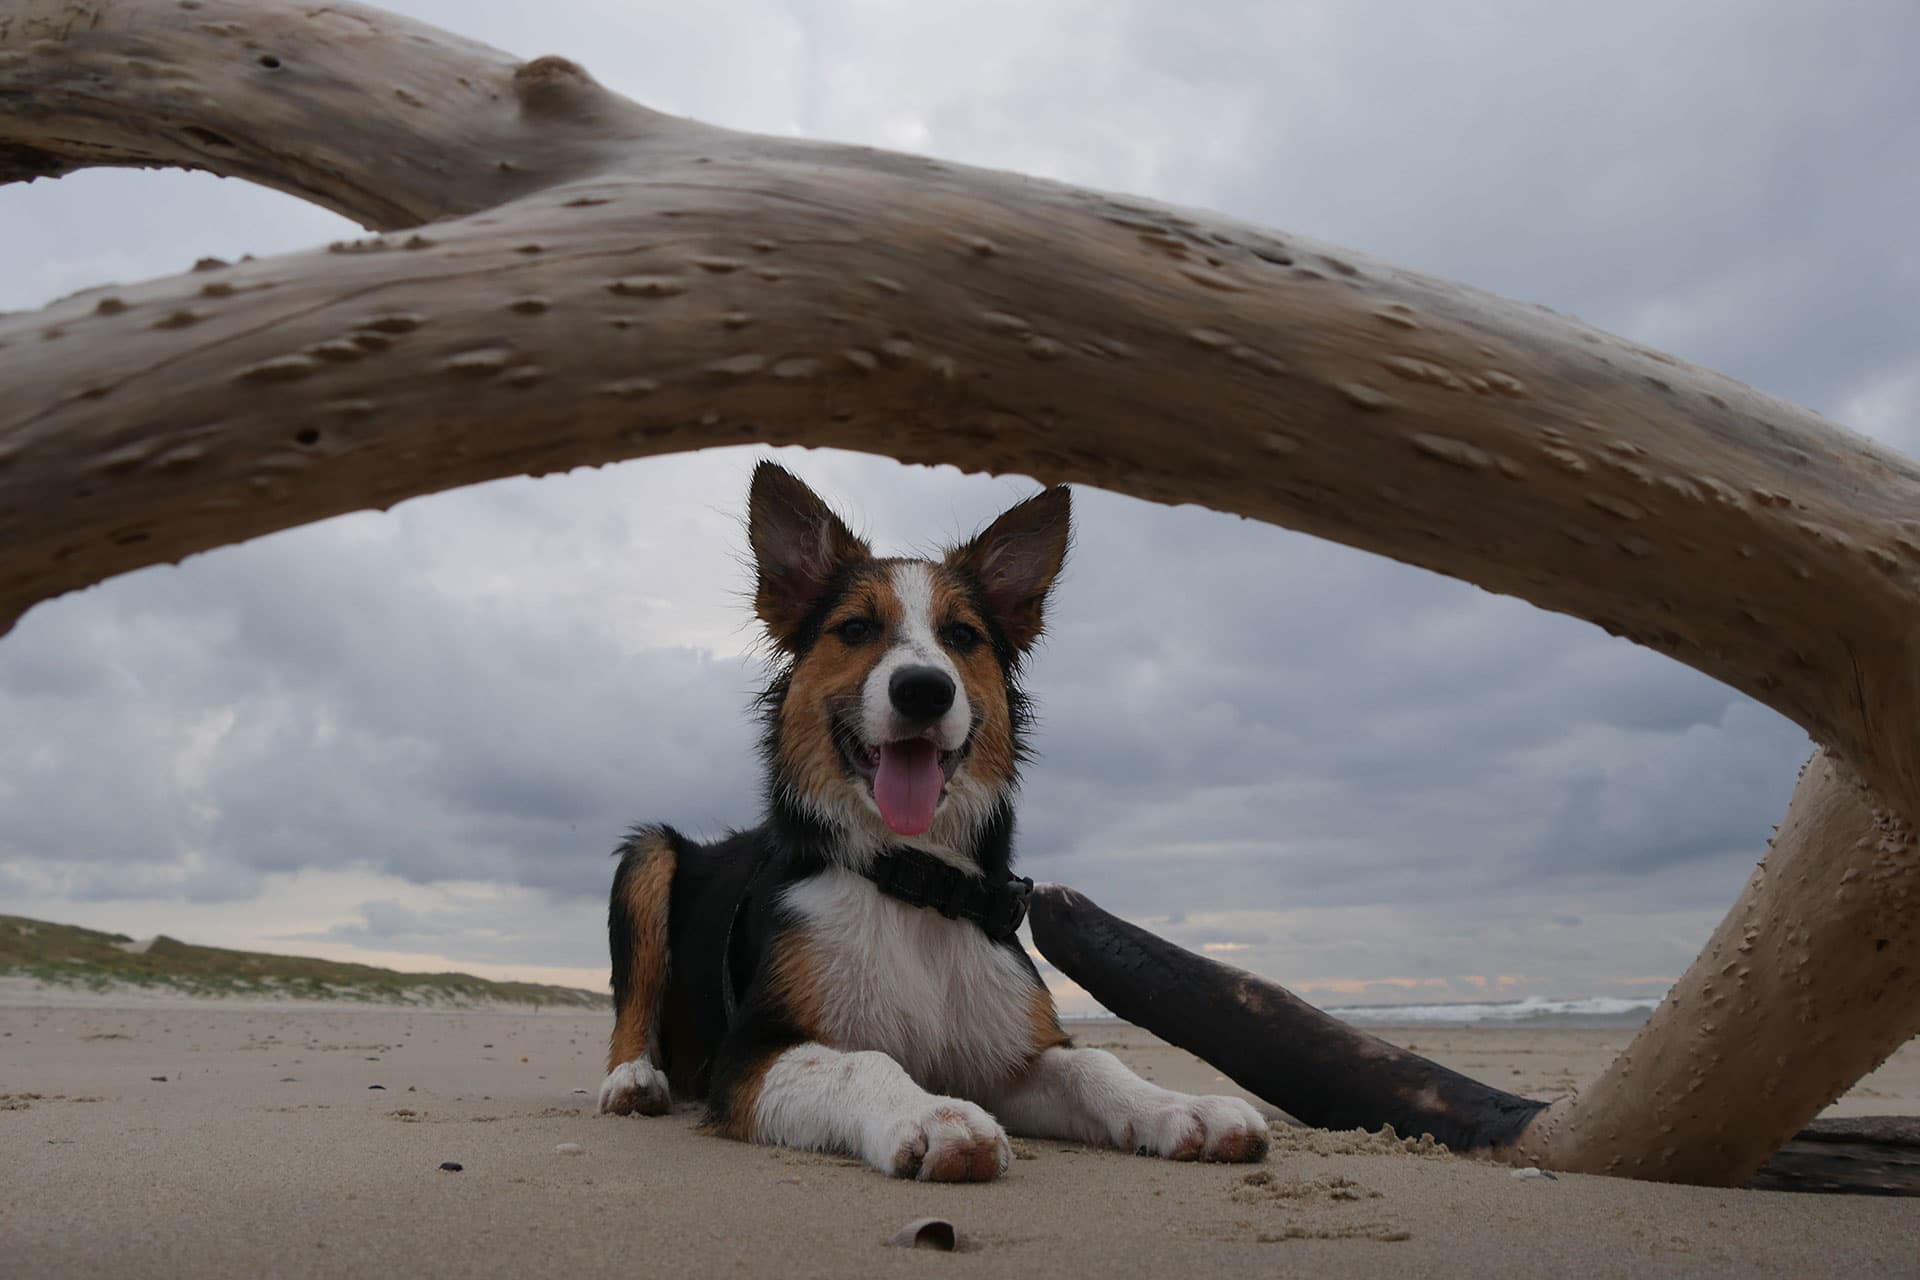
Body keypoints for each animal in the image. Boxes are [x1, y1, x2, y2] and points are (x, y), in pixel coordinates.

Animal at [591, 466, 1267, 1189]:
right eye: (856, 628)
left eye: (963, 635)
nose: (923, 689)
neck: (915, 882)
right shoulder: (751, 1049)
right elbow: (865, 1061)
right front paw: (930, 1116)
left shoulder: (1011, 1056)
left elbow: (1094, 1063)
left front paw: (1185, 1107)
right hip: (649, 854)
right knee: (634, 1000)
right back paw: (634, 1080)